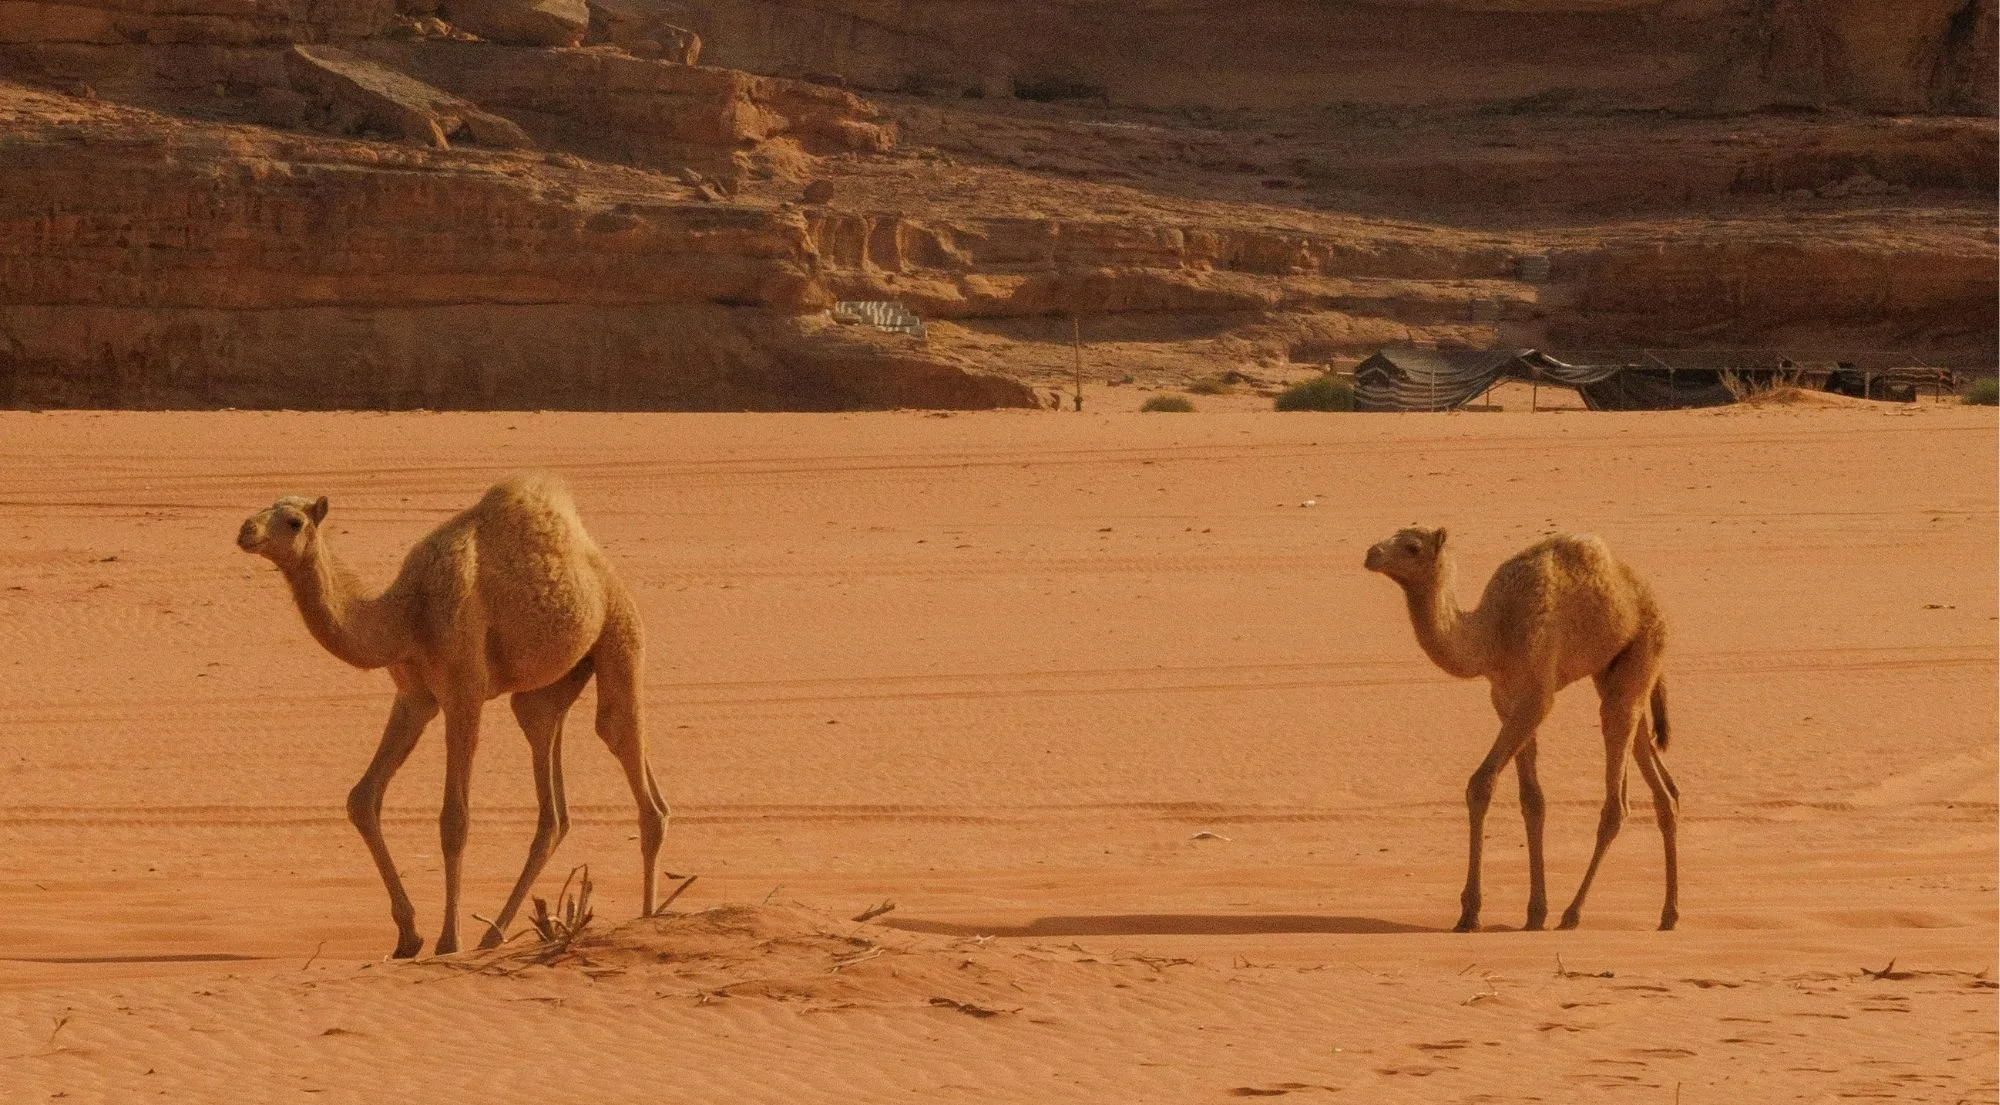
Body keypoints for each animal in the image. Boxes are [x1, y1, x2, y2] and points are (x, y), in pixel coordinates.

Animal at [237, 473, 669, 957]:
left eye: (293, 521)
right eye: (263, 508)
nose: (246, 531)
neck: (408, 614)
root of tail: (600, 565)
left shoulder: (464, 692)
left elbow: (454, 820)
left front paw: (447, 939)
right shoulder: (415, 696)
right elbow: (363, 798)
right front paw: (409, 936)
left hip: (620, 633)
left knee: (621, 743)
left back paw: (647, 917)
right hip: (546, 689)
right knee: (553, 792)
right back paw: (496, 932)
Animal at [1364, 527, 1678, 933]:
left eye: (1412, 547)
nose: (1372, 553)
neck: (1494, 633)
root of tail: (1647, 594)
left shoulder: (1536, 695)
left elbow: (1480, 783)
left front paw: (1470, 912)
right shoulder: (1504, 698)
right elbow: (1533, 800)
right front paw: (1533, 912)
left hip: (1643, 649)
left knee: (1616, 802)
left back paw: (1573, 913)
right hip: (1616, 671)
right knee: (1662, 786)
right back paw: (1668, 914)